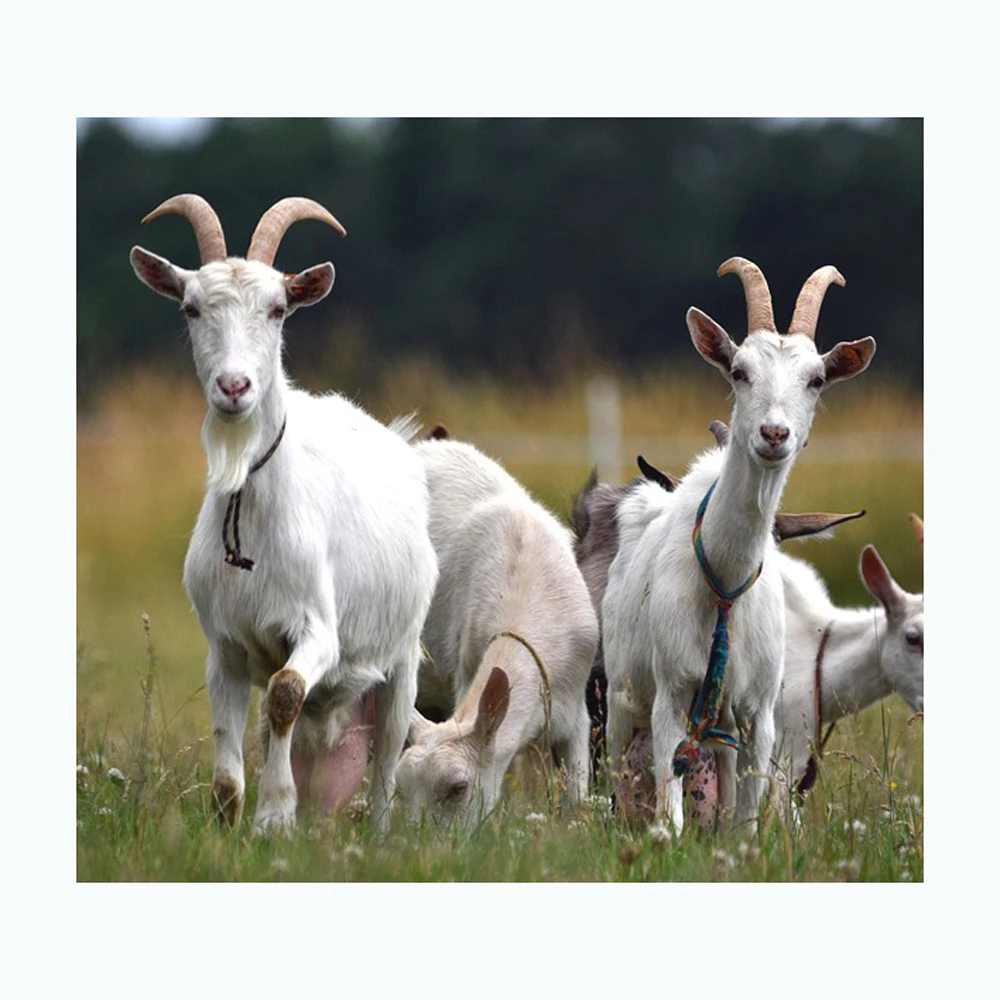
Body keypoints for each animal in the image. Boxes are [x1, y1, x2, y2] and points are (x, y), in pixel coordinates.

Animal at [130, 194, 438, 834]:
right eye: (192, 307)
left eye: (277, 310)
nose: (234, 386)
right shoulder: (223, 645)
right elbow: (233, 748)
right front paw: (229, 827)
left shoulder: (317, 629)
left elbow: (283, 694)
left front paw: (274, 817)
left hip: (402, 657)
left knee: (387, 758)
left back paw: (378, 834)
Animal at [395, 437, 599, 827]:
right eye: (402, 791)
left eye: (458, 788)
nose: (417, 838)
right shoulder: (466, 670)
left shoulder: (576, 715)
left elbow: (577, 797)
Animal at [600, 257, 876, 832]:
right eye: (739, 371)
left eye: (817, 379)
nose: (774, 434)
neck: (724, 583)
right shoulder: (671, 694)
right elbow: (671, 805)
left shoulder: (759, 711)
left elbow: (747, 814)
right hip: (622, 697)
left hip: (721, 720)